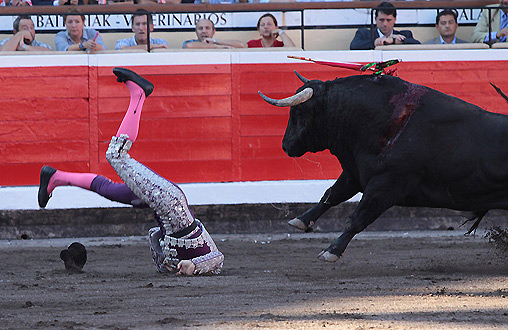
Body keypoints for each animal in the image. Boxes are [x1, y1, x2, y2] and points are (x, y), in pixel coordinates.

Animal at [260, 73, 506, 262]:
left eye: (300, 113)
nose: (286, 145)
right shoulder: (355, 173)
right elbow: (330, 195)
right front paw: (301, 221)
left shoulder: (386, 184)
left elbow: (357, 218)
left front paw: (331, 251)